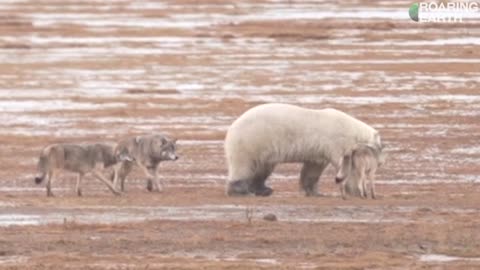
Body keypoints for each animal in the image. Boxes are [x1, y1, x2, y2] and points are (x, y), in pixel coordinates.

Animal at [225, 103, 382, 196]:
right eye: (381, 146)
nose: (380, 163)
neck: (354, 131)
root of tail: (231, 129)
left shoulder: (319, 150)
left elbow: (313, 168)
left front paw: (314, 192)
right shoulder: (338, 142)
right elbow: (347, 167)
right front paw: (356, 191)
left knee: (263, 168)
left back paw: (264, 190)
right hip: (251, 141)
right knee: (244, 165)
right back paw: (242, 191)